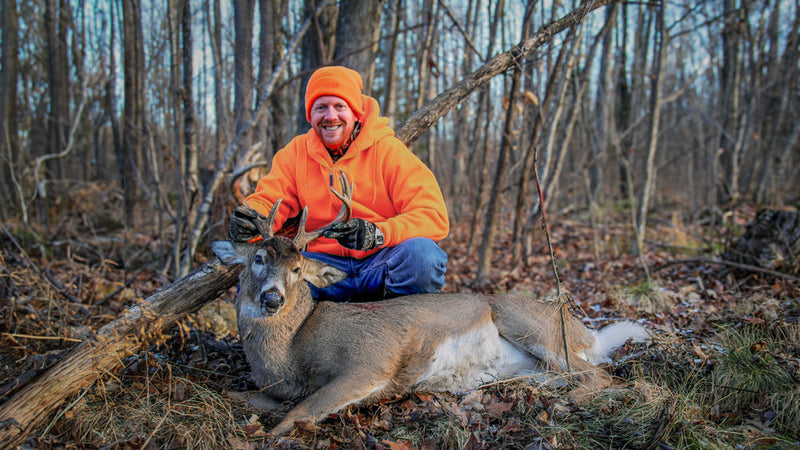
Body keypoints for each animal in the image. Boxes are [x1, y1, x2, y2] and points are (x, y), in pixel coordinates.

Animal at [211, 173, 649, 437]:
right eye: (258, 259)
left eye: (298, 269)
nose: (272, 298)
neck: (290, 353)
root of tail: (585, 333)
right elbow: (237, 395)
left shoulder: (370, 360)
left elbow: (294, 416)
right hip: (534, 361)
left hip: (529, 324)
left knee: (601, 375)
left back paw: (566, 403)